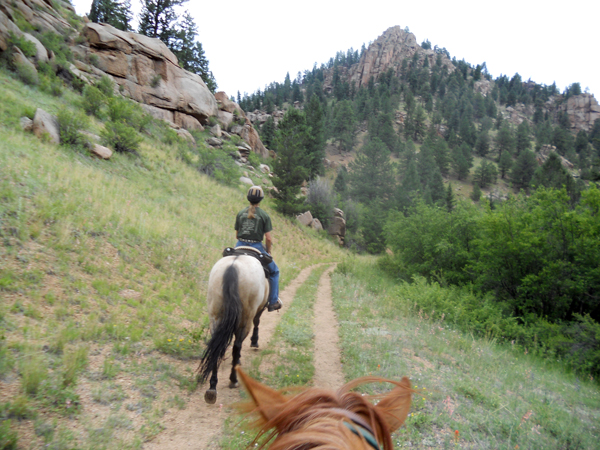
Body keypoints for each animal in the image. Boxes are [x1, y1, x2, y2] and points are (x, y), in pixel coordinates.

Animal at [198, 250, 268, 404]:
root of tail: (232, 267)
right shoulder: (259, 309)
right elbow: (257, 322)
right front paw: (255, 341)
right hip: (245, 319)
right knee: (237, 345)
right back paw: (233, 379)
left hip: (215, 317)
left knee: (217, 348)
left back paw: (212, 387)